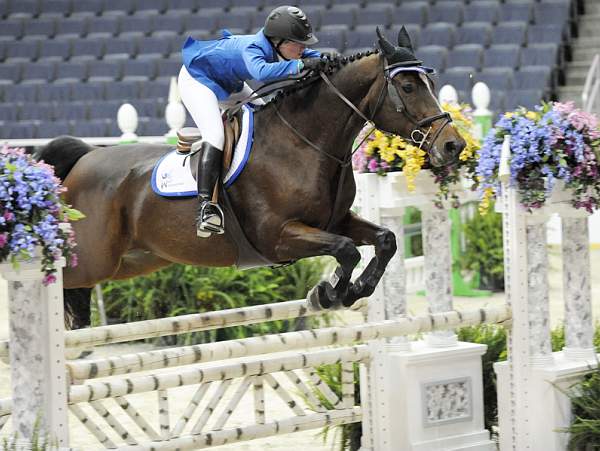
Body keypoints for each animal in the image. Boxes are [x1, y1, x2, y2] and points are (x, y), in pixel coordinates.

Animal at [37, 28, 466, 328]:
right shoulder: (278, 237)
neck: (305, 142)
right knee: (62, 281)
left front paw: (353, 291)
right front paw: (328, 294)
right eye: (407, 86)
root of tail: (87, 156)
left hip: (133, 260)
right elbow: (346, 250)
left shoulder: (336, 220)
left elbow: (385, 240)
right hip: (95, 260)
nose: (453, 145)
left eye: (431, 83)